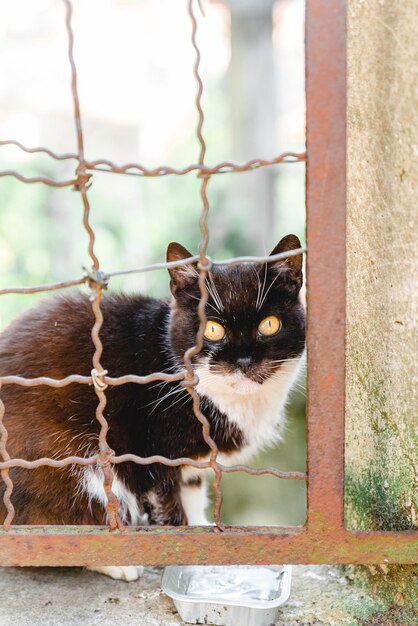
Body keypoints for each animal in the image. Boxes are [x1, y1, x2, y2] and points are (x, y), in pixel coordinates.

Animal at [0, 234, 306, 580]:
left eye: (269, 324)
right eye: (212, 329)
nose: (244, 361)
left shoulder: (192, 462)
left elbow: (193, 493)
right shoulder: (151, 451)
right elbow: (169, 512)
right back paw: (117, 562)